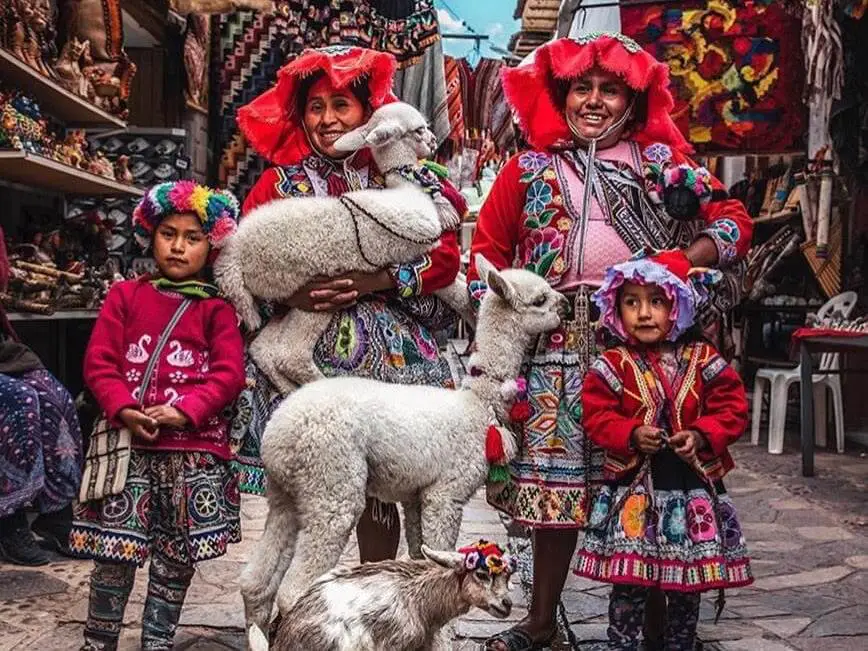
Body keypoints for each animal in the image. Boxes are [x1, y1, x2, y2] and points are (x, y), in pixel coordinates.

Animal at [214, 102, 472, 392]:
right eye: (418, 130)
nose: (433, 141)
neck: (405, 193)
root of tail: (232, 256)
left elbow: (457, 277)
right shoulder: (411, 251)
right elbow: (454, 289)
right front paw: (476, 311)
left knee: (264, 349)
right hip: (312, 288)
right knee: (289, 354)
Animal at [237, 255, 568, 632]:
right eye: (540, 299)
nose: (567, 305)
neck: (477, 402)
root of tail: (276, 435)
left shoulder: (415, 496)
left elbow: (419, 553)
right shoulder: (445, 494)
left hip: (287, 493)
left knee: (256, 581)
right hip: (330, 481)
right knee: (294, 587)